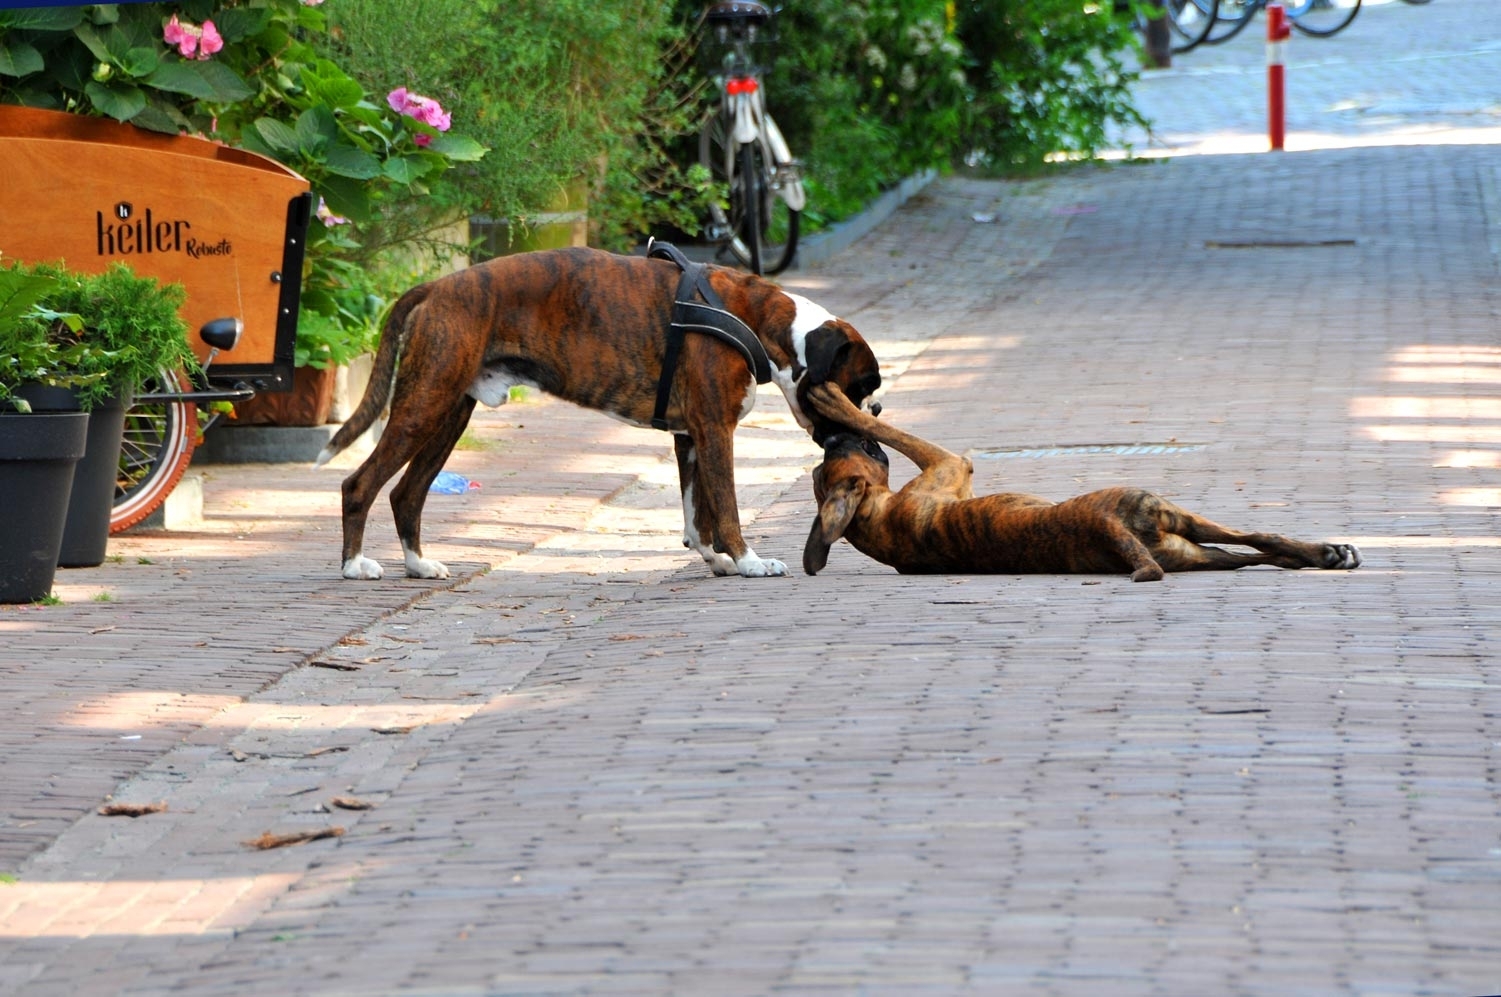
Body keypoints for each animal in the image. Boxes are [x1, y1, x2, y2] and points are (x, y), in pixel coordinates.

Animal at [804, 382, 1368, 579]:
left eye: (822, 470)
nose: (829, 439)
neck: (877, 521)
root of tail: (1104, 530)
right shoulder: (949, 466)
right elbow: (893, 429)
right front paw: (840, 402)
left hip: (1190, 547)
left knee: (1252, 553)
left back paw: (1320, 557)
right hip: (1168, 510)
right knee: (1260, 538)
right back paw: (1326, 553)